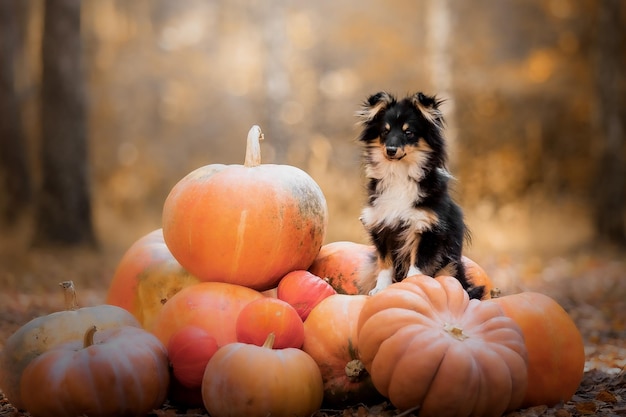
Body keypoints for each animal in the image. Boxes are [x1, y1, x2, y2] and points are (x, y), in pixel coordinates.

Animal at [356, 92, 482, 298]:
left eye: (409, 133)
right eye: (385, 131)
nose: (390, 150)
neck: (400, 174)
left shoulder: (427, 229)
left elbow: (417, 266)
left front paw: (413, 286)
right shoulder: (382, 227)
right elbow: (385, 264)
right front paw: (380, 289)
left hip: (450, 266)